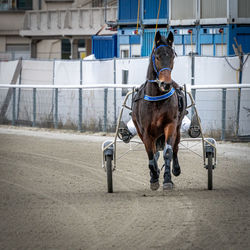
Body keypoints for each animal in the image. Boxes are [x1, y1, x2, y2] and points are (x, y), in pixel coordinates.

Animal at [132, 30, 187, 191]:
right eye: (157, 56)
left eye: (172, 56)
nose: (165, 84)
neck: (157, 99)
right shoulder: (145, 131)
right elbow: (151, 155)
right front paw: (154, 176)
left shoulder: (170, 125)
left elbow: (168, 152)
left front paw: (167, 180)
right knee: (154, 152)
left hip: (177, 128)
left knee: (175, 147)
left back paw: (175, 169)